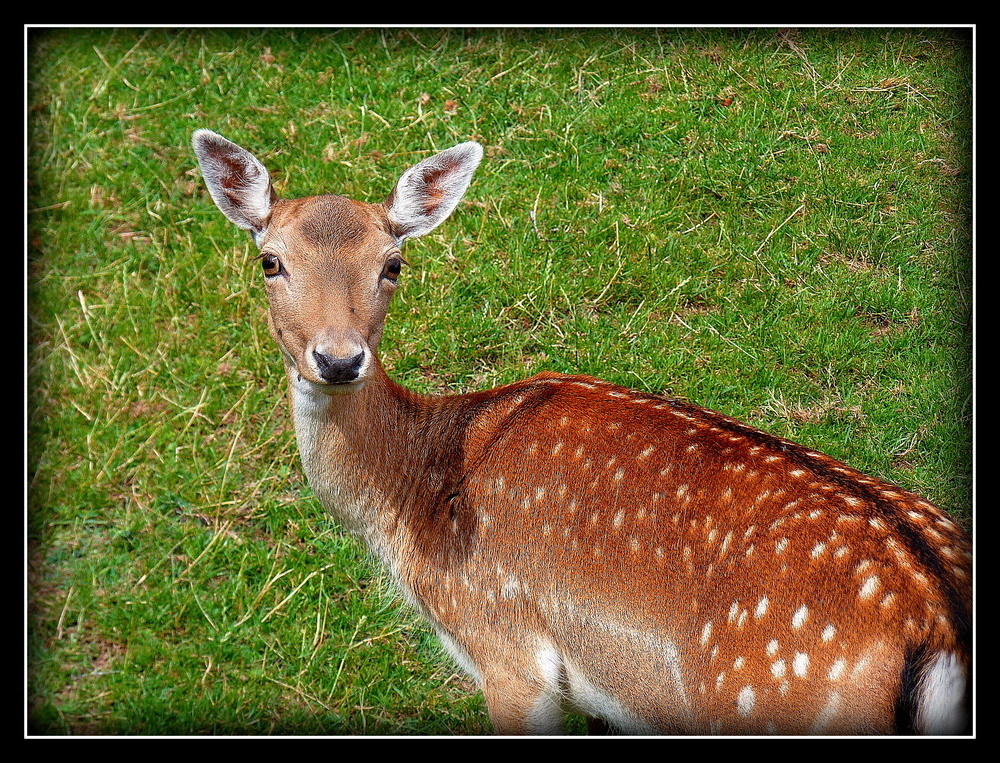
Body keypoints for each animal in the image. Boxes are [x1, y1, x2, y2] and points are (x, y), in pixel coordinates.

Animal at [191, 130, 972, 736]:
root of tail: (939, 627)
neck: (417, 496)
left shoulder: (509, 651)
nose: (337, 358)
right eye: (270, 259)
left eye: (393, 264)